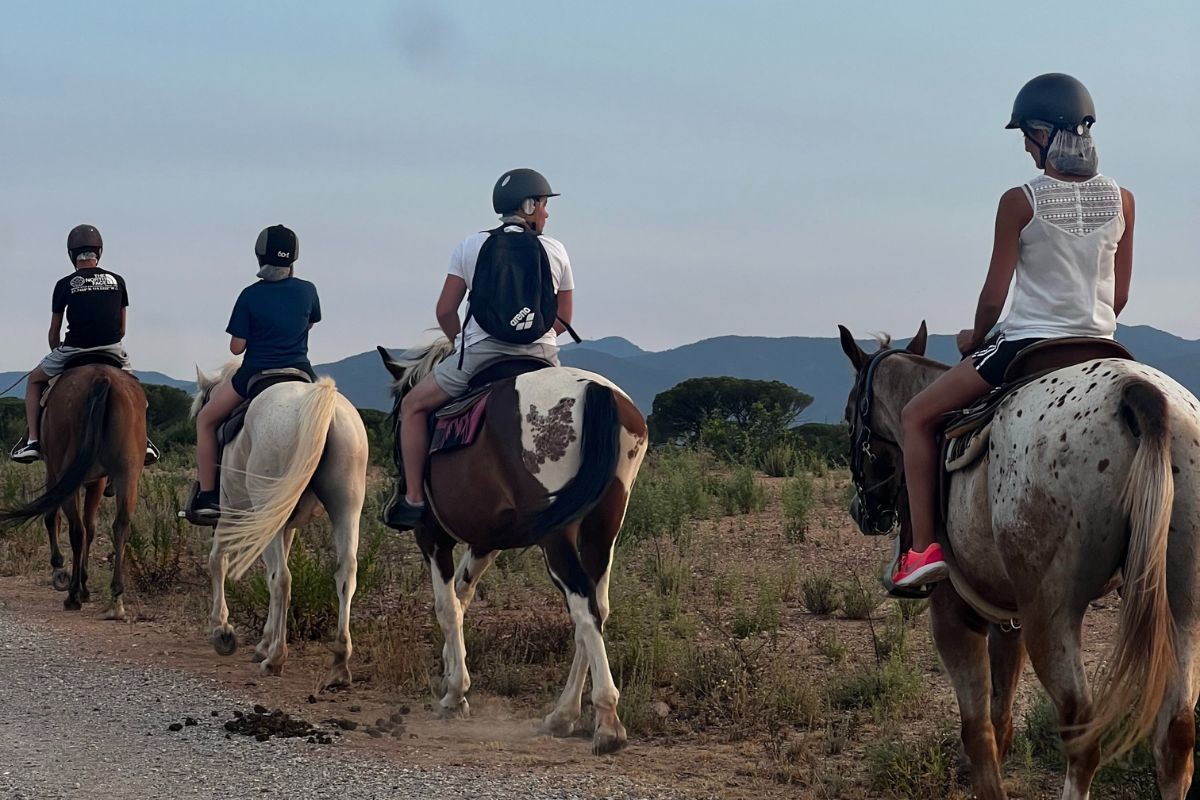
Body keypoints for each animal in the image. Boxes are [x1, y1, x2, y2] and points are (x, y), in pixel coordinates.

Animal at [0, 364, 147, 619]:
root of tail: (102, 378)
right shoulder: (96, 481)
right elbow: (91, 527)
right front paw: (85, 586)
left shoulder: (55, 473)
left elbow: (52, 517)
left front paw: (61, 570)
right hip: (128, 475)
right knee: (119, 526)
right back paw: (116, 599)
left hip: (66, 470)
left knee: (76, 529)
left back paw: (72, 595)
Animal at [194, 361, 368, 688]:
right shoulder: (286, 527)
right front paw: (262, 641)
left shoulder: (231, 516)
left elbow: (217, 561)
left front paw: (222, 630)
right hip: (346, 508)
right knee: (345, 574)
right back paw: (339, 664)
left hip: (265, 509)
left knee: (283, 579)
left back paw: (276, 659)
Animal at [377, 339, 648, 755]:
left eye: (397, 415)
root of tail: (594, 390)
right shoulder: (486, 542)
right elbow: (462, 596)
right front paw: (451, 674)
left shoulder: (432, 536)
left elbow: (446, 606)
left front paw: (455, 694)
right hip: (603, 527)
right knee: (595, 608)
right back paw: (562, 715)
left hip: (557, 535)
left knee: (582, 605)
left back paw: (607, 722)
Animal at [839, 321, 1200, 800]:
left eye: (848, 418)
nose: (864, 513)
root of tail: (1137, 391)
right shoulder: (1007, 625)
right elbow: (1001, 723)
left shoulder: (953, 616)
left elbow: (978, 733)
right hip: (1182, 600)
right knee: (1176, 735)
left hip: (1050, 614)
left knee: (1082, 733)